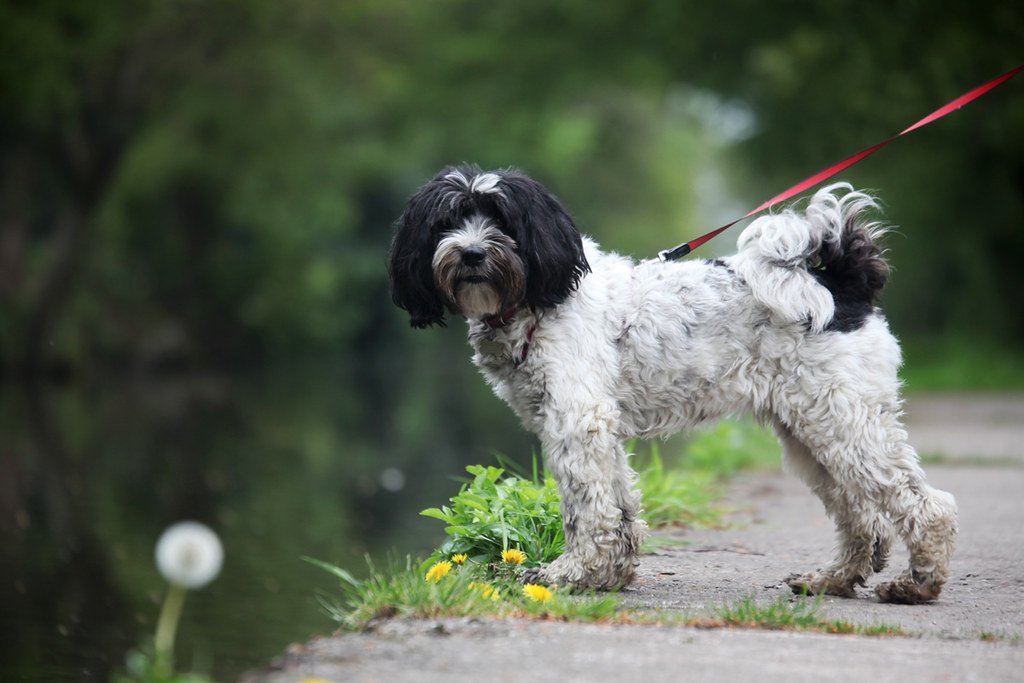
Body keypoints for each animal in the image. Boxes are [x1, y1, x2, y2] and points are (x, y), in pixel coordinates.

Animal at [389, 165, 958, 602]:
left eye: (501, 219)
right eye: (447, 221)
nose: (471, 253)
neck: (538, 299)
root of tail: (838, 280)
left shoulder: (577, 421)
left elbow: (586, 510)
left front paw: (569, 575)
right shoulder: (599, 429)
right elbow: (617, 507)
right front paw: (610, 575)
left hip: (847, 423)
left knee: (926, 507)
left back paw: (917, 585)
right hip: (811, 432)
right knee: (862, 516)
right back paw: (833, 580)